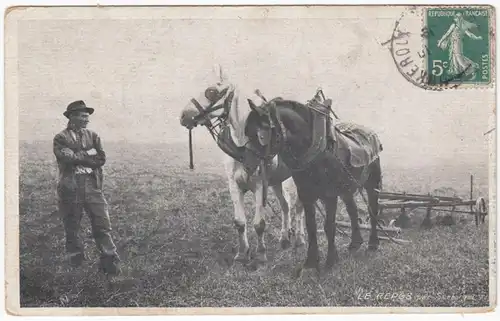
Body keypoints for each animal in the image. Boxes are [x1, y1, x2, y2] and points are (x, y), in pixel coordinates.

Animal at [180, 66, 304, 264]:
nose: (184, 116)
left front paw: (261, 254)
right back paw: (284, 238)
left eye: (211, 91)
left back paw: (299, 239)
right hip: (276, 181)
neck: (244, 147)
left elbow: (259, 224)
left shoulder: (260, 186)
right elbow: (239, 222)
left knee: (299, 206)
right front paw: (241, 252)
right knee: (285, 205)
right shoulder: (234, 185)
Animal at [245, 97, 382, 270]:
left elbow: (329, 226)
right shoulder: (306, 194)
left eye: (261, 135)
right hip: (346, 188)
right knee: (352, 210)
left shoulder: (330, 195)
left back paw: (373, 243)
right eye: (246, 133)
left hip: (372, 184)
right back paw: (355, 243)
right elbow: (311, 226)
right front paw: (311, 261)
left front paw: (331, 260)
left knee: (373, 210)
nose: (247, 166)